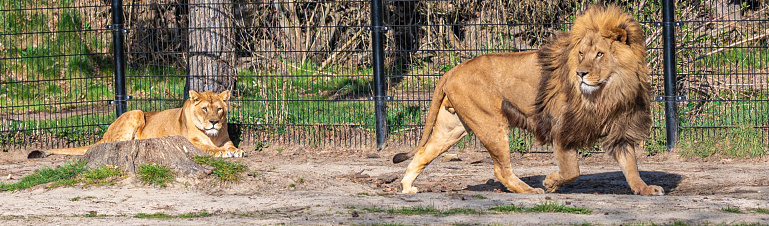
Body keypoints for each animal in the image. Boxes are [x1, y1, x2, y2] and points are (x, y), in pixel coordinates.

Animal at [45, 89, 243, 157]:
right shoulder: (190, 141)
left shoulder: (225, 139)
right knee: (114, 142)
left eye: (219, 109)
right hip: (136, 112)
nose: (214, 122)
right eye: (204, 109)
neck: (212, 135)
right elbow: (208, 147)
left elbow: (231, 145)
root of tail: (104, 134)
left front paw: (236, 151)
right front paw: (220, 152)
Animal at [392, 5, 664, 196]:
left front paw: (645, 189)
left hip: (453, 126)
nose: (580, 73)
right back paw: (530, 190)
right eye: (581, 53)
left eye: (599, 54)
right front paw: (551, 182)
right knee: (501, 169)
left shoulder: (619, 127)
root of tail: (452, 70)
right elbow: (572, 171)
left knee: (423, 153)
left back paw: (407, 187)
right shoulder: (562, 127)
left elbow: (631, 165)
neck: (609, 90)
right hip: (490, 123)